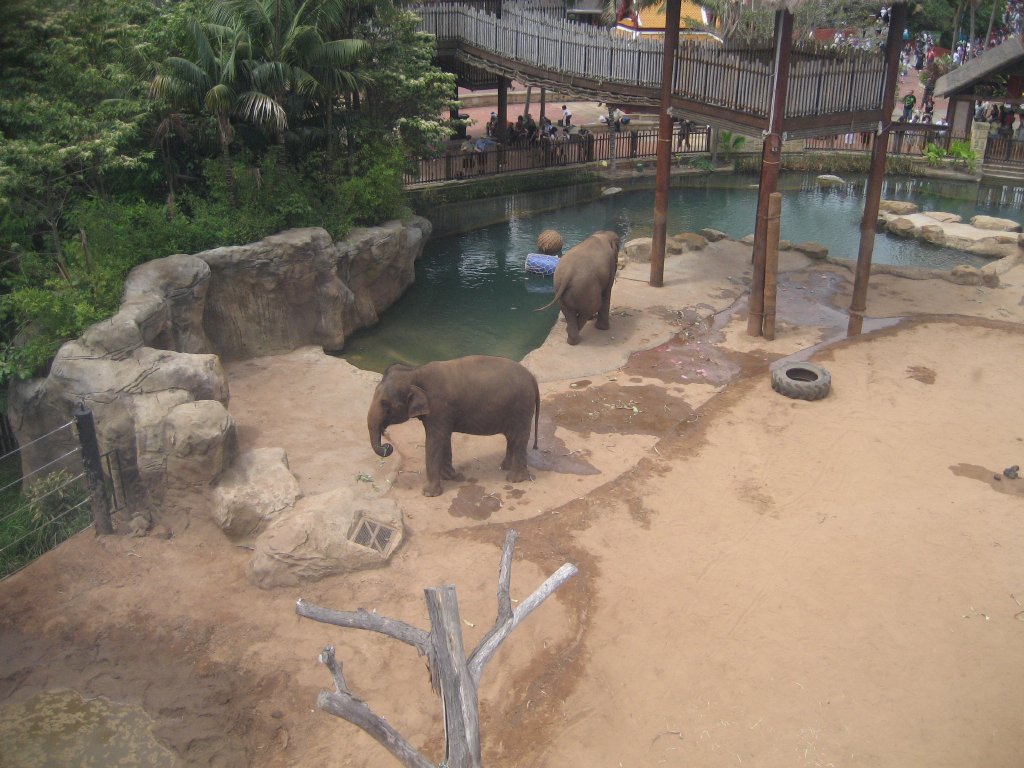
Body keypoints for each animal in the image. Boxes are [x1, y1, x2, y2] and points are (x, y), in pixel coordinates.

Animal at [367, 355, 541, 497]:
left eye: (384, 404)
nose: (388, 447)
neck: (415, 371)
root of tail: (532, 378)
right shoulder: (439, 414)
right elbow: (443, 439)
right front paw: (453, 477)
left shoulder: (439, 408)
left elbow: (434, 441)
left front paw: (429, 493)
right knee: (512, 437)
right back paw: (505, 467)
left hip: (521, 407)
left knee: (519, 438)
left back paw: (514, 479)